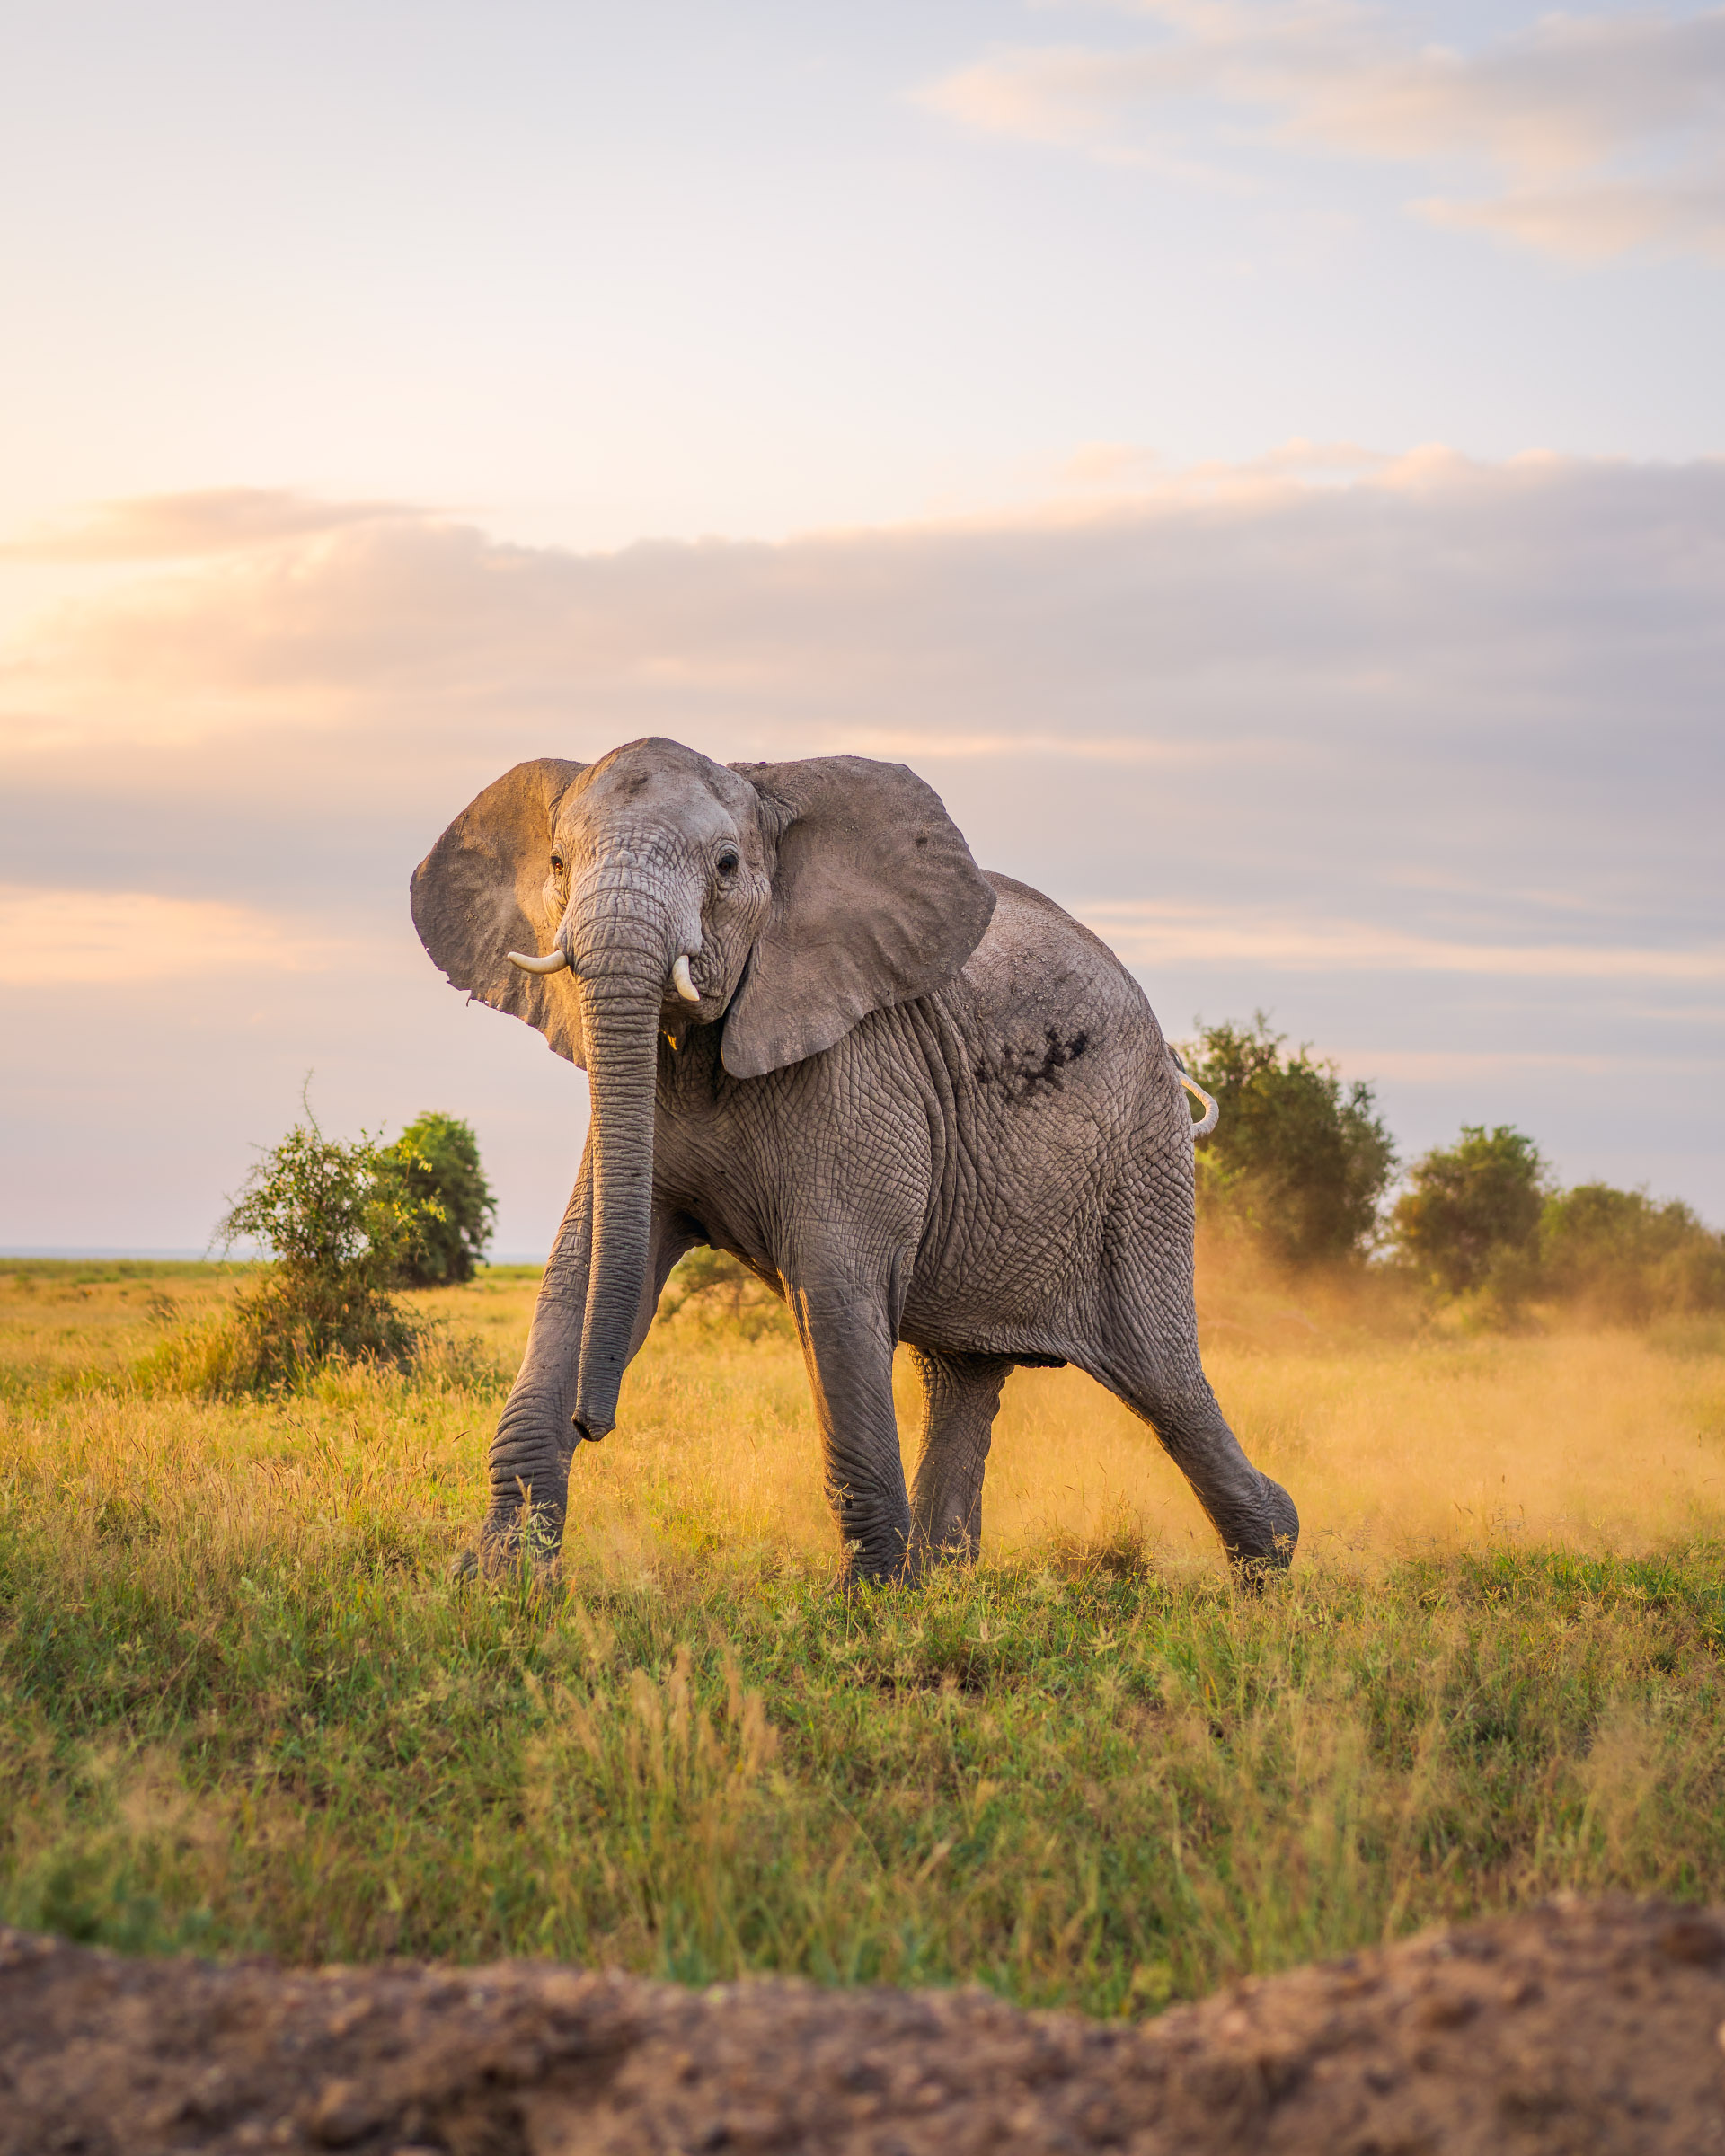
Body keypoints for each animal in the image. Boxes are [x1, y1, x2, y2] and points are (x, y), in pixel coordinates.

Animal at [411, 737, 1298, 1584]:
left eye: (726, 867)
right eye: (559, 865)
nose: (595, 1423)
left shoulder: (861, 1072)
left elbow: (834, 1288)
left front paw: (863, 1603)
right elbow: (580, 1270)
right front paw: (494, 1580)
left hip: (1139, 1172)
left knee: (1164, 1381)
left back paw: (1272, 1566)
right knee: (964, 1377)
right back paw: (942, 1581)